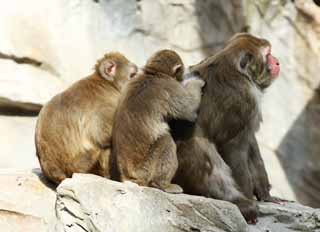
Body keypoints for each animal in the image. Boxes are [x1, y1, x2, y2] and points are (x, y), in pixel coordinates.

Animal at [170, 32, 280, 223]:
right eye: (268, 54)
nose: (277, 62)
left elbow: (250, 142)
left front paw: (266, 194)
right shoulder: (243, 99)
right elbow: (233, 146)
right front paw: (248, 198)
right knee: (202, 145)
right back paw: (240, 203)